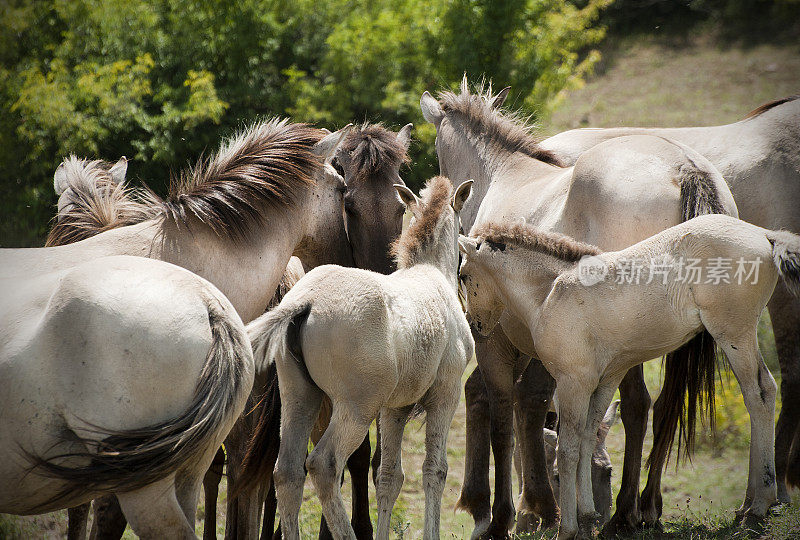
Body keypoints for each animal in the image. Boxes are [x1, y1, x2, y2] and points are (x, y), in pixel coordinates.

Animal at [238, 177, 476, 540]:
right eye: (461, 224)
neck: (430, 272)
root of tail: (305, 302)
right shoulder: (445, 396)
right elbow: (434, 471)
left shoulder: (395, 409)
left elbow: (389, 476)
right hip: (355, 409)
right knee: (323, 465)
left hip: (300, 397)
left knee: (287, 471)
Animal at [422, 78, 740, 536]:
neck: (502, 174)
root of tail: (685, 168)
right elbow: (532, 407)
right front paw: (541, 507)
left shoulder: (499, 340)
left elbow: (505, 412)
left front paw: (509, 514)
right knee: (659, 405)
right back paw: (642, 508)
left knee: (637, 404)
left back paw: (622, 512)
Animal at [456, 213, 800, 536]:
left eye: (463, 275)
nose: (474, 325)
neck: (551, 292)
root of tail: (764, 234)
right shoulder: (606, 378)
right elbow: (587, 439)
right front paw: (587, 518)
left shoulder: (572, 382)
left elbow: (567, 450)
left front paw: (568, 530)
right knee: (765, 393)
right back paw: (747, 506)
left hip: (733, 334)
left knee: (759, 394)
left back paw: (758, 506)